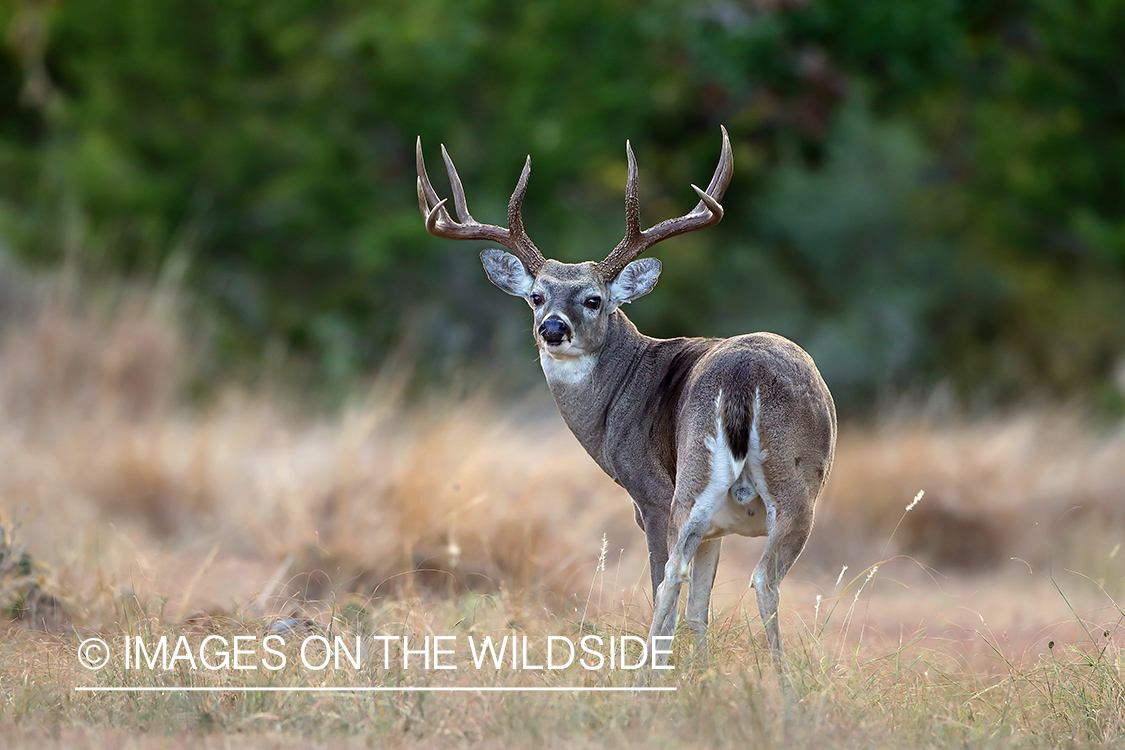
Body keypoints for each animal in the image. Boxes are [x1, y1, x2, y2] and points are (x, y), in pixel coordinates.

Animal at [416, 125, 837, 670]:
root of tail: (744, 377)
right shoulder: (707, 524)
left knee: (694, 580)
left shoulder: (649, 493)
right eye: (536, 296)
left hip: (723, 487)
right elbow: (699, 610)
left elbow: (679, 596)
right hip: (752, 489)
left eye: (593, 299)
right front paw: (703, 676)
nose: (553, 328)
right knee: (720, 580)